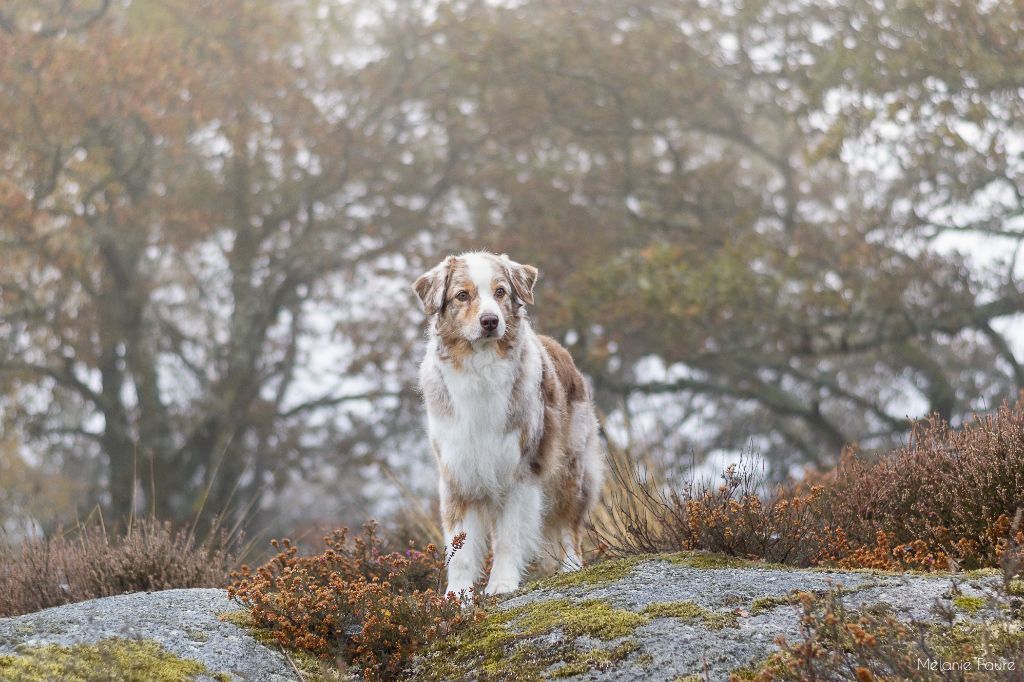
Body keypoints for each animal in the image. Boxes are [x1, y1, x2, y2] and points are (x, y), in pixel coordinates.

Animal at [411, 251, 602, 593]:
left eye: (500, 292)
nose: (490, 321)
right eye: (462, 295)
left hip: (570, 469)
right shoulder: (457, 474)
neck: (481, 368)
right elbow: (460, 549)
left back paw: (571, 568)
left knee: (568, 525)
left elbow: (509, 537)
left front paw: (501, 584)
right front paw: (457, 596)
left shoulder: (520, 470)